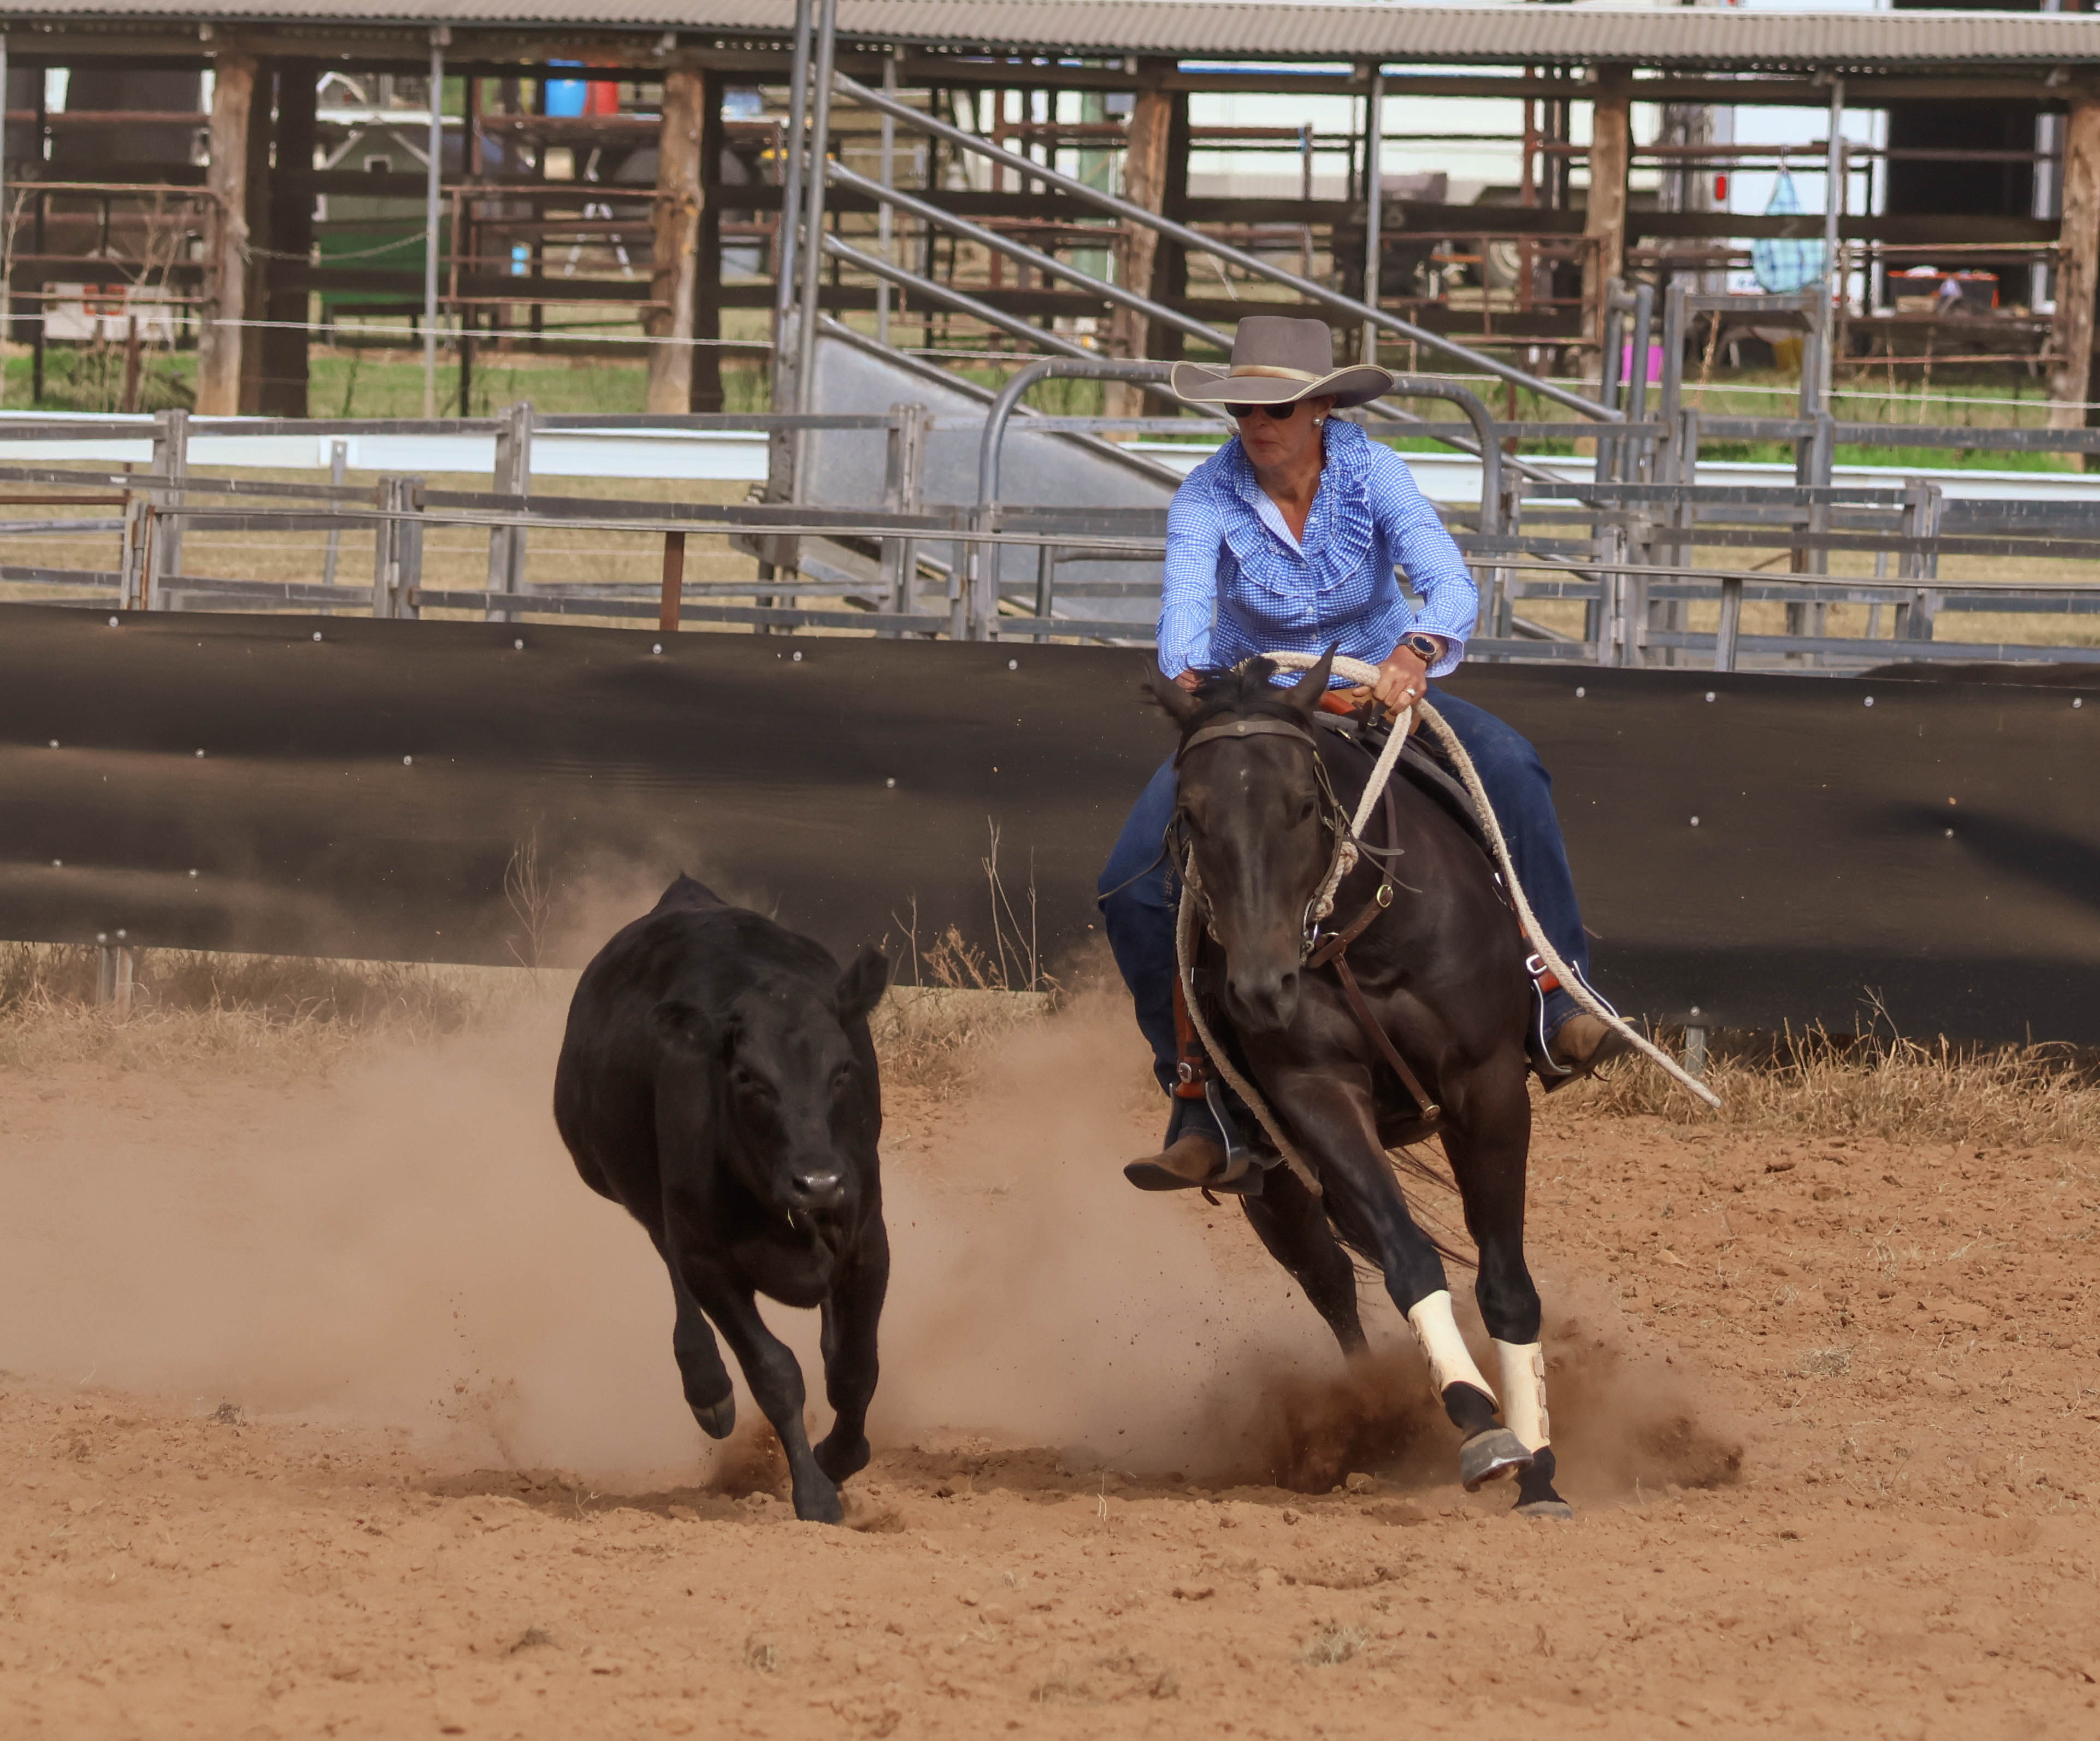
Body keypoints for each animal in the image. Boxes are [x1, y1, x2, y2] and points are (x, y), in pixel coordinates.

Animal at [1151, 650, 1571, 1517]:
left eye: (1304, 803)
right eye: (1191, 812)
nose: (1260, 989)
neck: (1354, 937)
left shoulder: (1488, 1089)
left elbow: (1507, 1284)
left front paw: (1541, 1468)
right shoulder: (1314, 1095)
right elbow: (1407, 1258)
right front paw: (1481, 1425)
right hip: (1270, 1175)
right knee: (1332, 1279)